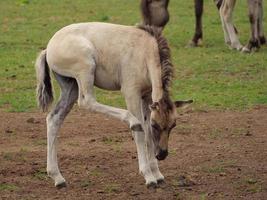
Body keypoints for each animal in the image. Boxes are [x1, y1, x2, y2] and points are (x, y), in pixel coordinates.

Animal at [35, 22, 193, 188]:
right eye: (156, 125)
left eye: (173, 125)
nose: (162, 154)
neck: (145, 51)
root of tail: (48, 48)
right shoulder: (132, 93)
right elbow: (141, 133)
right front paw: (149, 176)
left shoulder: (147, 97)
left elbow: (148, 133)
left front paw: (157, 174)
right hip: (86, 69)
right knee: (86, 101)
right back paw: (132, 121)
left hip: (70, 86)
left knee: (54, 118)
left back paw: (57, 177)